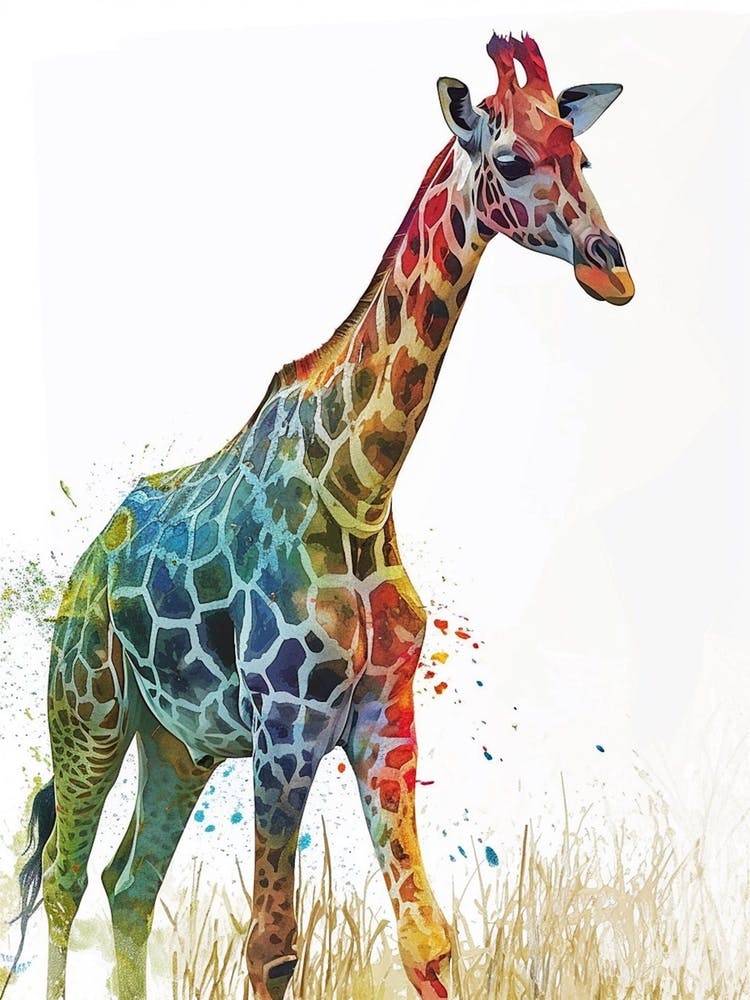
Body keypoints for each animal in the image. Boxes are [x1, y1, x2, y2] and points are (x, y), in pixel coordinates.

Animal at [6, 31, 633, 1000]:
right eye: (512, 159)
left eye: (583, 156)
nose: (612, 265)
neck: (362, 486)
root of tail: (83, 567)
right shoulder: (287, 726)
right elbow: (272, 945)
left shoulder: (383, 720)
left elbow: (427, 939)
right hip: (89, 713)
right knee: (69, 880)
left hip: (176, 746)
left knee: (129, 884)